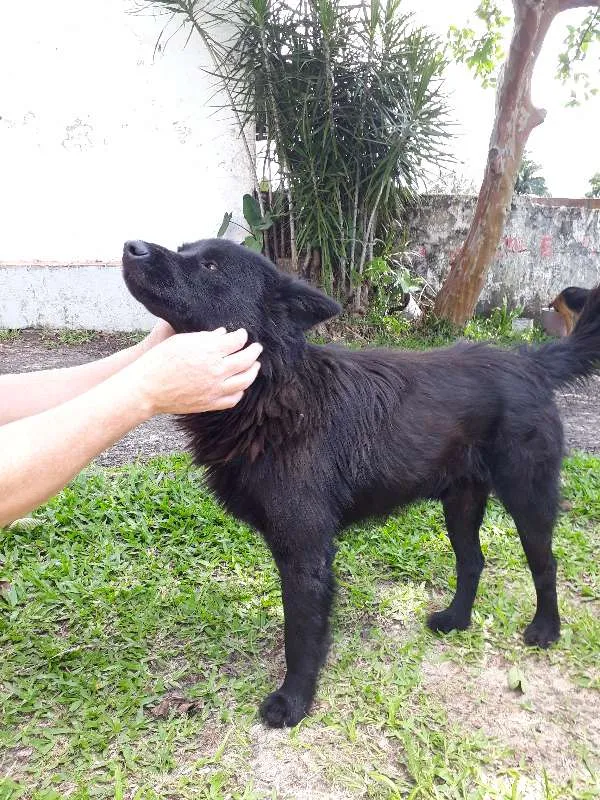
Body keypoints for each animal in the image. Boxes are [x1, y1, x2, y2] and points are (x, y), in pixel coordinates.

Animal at [122, 238, 600, 724]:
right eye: (184, 249)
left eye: (210, 266)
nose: (131, 247)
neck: (269, 389)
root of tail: (531, 361)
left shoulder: (306, 553)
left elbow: (301, 636)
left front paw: (293, 701)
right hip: (461, 503)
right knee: (473, 561)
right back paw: (456, 620)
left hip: (527, 495)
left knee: (545, 563)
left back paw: (546, 629)